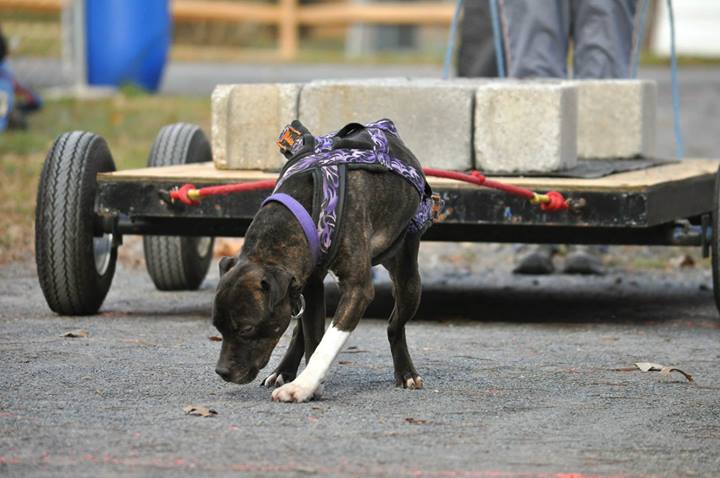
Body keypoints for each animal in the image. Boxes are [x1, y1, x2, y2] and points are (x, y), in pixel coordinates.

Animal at [214, 129, 428, 402]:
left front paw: (302, 386)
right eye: (217, 327)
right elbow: (312, 336)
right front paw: (309, 384)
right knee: (300, 330)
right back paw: (283, 371)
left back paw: (406, 372)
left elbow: (326, 343)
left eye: (246, 329)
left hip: (408, 279)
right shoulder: (309, 284)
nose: (221, 372)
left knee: (395, 325)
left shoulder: (357, 290)